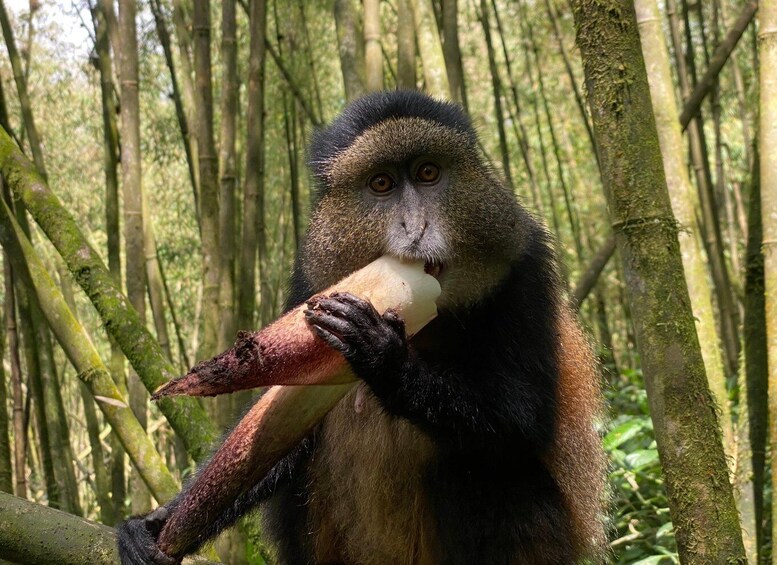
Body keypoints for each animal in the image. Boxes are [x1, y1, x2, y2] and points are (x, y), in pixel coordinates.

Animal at [118, 90, 607, 564]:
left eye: (428, 173)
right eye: (382, 184)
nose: (416, 226)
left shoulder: (525, 269)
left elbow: (525, 418)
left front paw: (382, 357)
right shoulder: (311, 287)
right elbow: (282, 431)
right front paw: (157, 525)